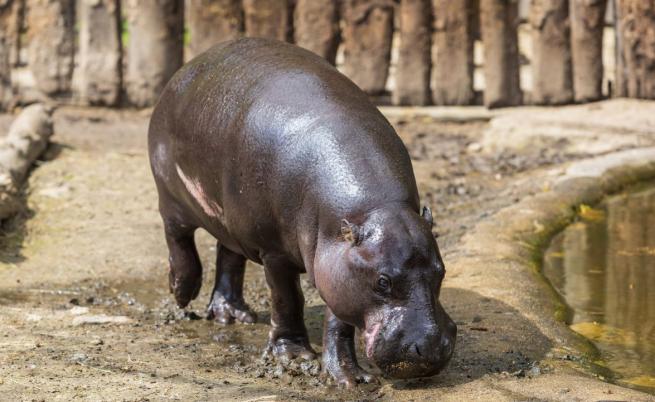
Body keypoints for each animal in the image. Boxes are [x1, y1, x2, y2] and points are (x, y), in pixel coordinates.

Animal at [149, 37, 456, 386]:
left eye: (441, 271)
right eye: (383, 282)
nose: (430, 349)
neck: (375, 208)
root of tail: (190, 66)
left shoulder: (337, 263)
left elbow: (338, 322)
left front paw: (349, 377)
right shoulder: (275, 252)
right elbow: (287, 299)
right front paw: (294, 356)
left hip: (231, 219)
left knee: (229, 254)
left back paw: (232, 315)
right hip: (171, 195)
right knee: (178, 237)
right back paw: (182, 291)